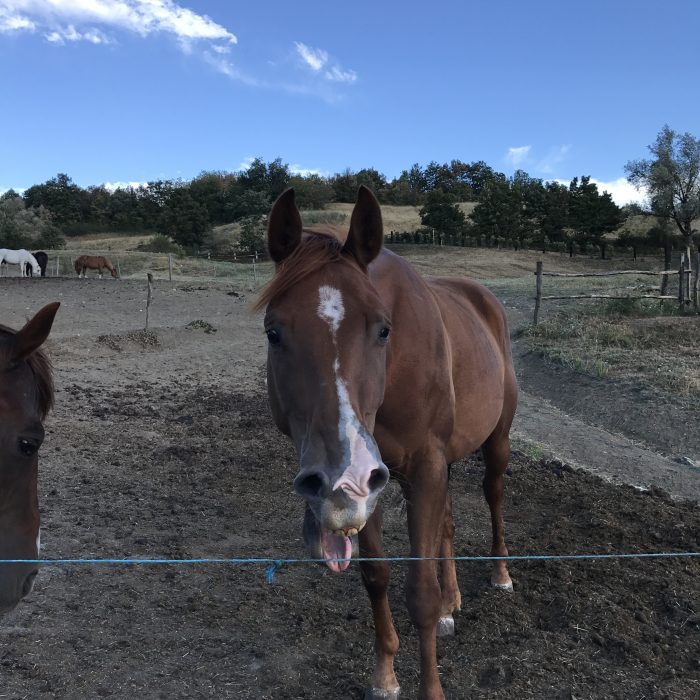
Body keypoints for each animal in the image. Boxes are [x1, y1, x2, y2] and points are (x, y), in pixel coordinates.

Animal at [256, 187, 518, 699]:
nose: (337, 477)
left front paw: (431, 689)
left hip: (494, 442)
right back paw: (452, 603)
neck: (393, 373)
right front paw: (385, 676)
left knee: (493, 496)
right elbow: (376, 575)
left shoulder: (418, 467)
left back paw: (499, 573)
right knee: (447, 525)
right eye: (273, 332)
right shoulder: (375, 483)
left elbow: (419, 592)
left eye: (383, 328)